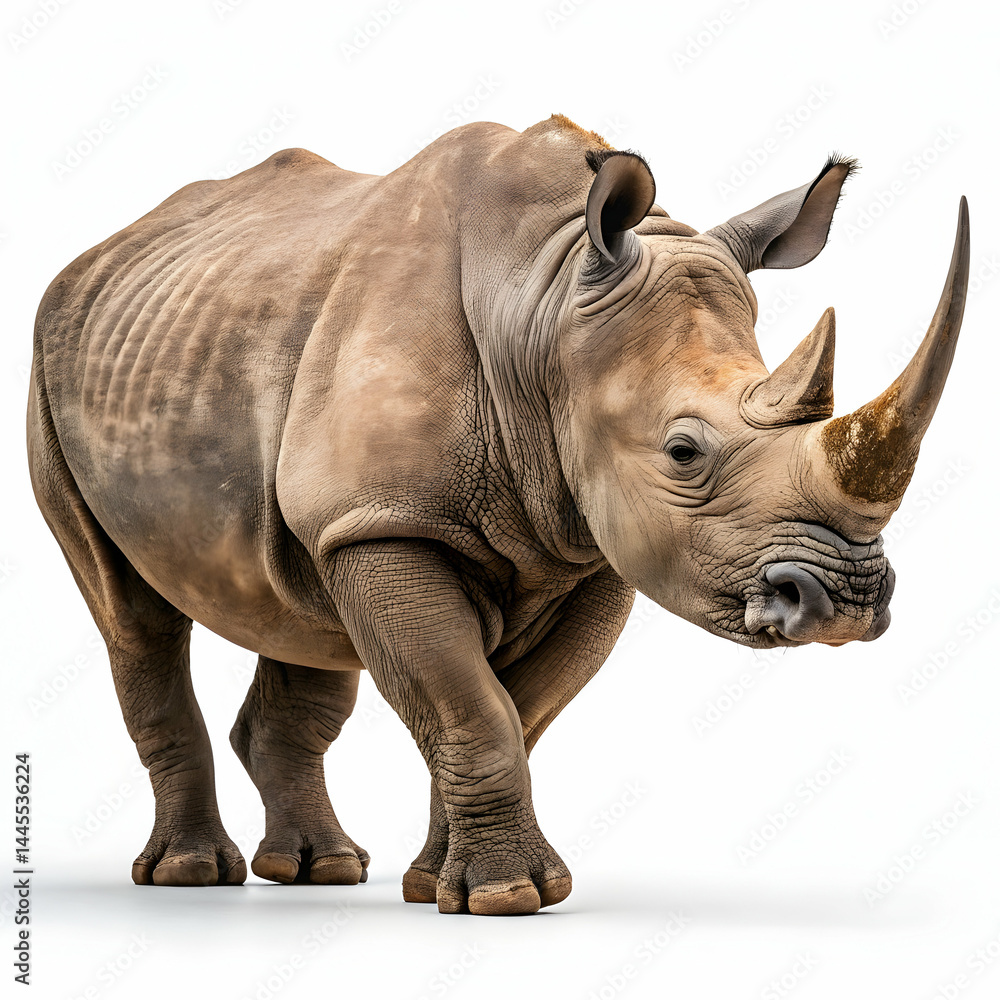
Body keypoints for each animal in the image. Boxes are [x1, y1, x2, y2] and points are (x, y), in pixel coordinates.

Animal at [27, 114, 969, 915]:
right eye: (683, 452)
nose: (845, 603)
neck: (545, 303)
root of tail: (101, 253)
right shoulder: (389, 519)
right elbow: (470, 706)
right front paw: (507, 896)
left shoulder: (587, 545)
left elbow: (515, 712)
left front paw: (446, 886)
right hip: (50, 365)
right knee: (131, 613)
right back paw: (191, 876)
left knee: (299, 607)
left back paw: (321, 872)